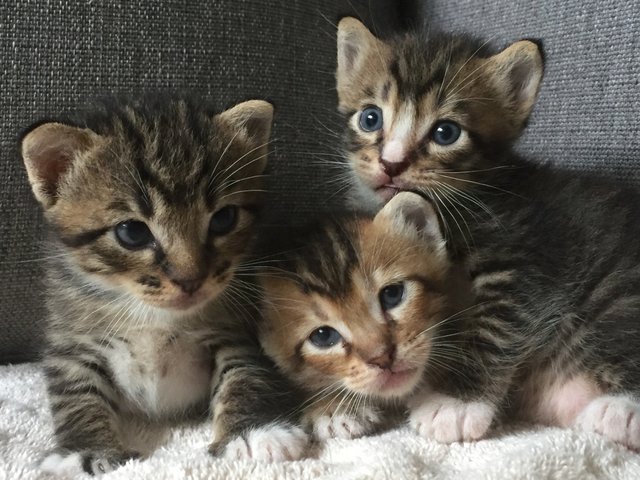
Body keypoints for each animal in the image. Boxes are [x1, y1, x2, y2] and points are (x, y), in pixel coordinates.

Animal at [22, 95, 308, 474]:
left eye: (224, 219)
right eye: (132, 232)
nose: (190, 280)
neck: (150, 313)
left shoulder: (238, 329)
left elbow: (245, 374)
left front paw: (253, 430)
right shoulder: (71, 339)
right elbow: (76, 394)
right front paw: (86, 450)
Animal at [332, 16, 640, 448]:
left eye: (446, 132)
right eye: (370, 118)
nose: (391, 164)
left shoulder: (523, 262)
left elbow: (495, 327)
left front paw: (457, 403)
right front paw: (341, 407)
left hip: (620, 291)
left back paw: (619, 410)